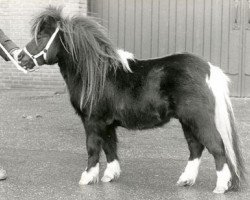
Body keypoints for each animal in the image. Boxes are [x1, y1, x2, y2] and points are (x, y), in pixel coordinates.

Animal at [18, 6, 245, 194]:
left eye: (42, 36)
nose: (21, 58)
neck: (96, 74)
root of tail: (208, 69)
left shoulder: (92, 121)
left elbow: (93, 147)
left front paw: (87, 177)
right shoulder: (107, 123)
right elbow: (110, 147)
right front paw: (110, 175)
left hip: (198, 119)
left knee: (217, 146)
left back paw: (220, 186)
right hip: (187, 121)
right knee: (196, 148)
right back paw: (186, 180)